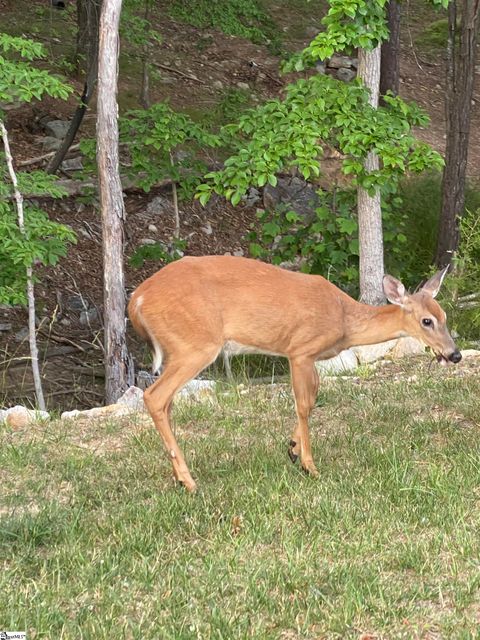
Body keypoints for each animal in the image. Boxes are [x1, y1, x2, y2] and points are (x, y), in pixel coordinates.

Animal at [127, 255, 462, 490]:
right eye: (427, 321)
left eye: (445, 316)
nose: (454, 354)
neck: (344, 320)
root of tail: (136, 300)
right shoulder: (300, 349)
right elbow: (303, 404)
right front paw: (309, 465)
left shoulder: (309, 357)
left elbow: (312, 399)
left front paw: (291, 448)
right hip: (195, 344)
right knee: (154, 397)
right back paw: (189, 481)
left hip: (179, 350)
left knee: (166, 402)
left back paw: (177, 477)